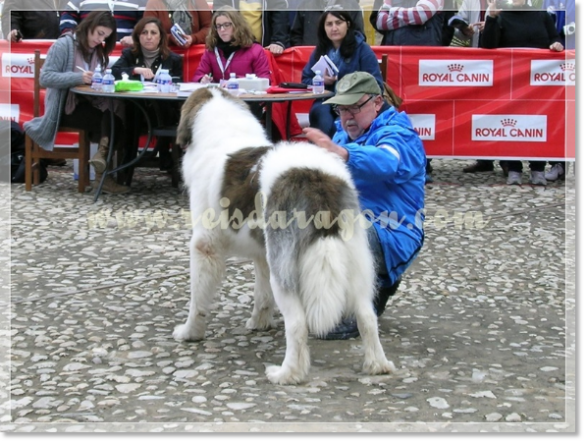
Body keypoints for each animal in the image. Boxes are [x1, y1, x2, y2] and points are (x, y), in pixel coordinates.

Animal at [173, 87, 392, 386]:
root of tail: (314, 176)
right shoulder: (263, 255)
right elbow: (261, 293)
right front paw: (260, 323)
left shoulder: (204, 247)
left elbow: (197, 298)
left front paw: (190, 332)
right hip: (355, 261)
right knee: (367, 317)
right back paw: (377, 365)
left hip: (286, 269)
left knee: (298, 324)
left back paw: (287, 374)